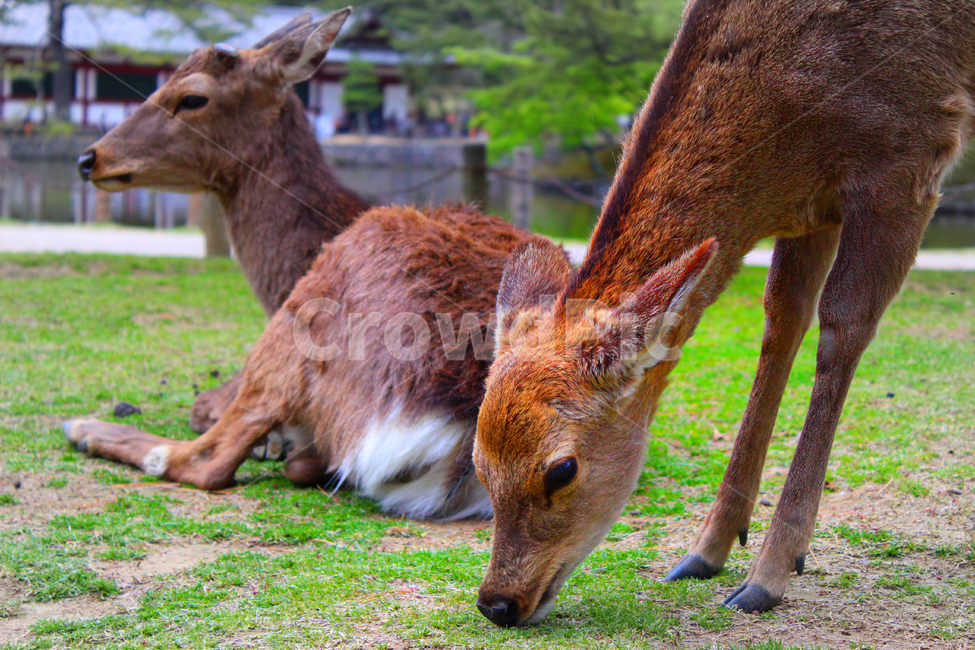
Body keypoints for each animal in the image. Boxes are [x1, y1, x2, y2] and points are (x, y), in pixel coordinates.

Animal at [472, 0, 975, 627]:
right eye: (477, 463)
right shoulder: (812, 208)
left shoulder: (913, 149)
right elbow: (783, 317)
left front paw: (769, 575)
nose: (496, 602)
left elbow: (844, 325)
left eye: (561, 469)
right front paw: (706, 550)